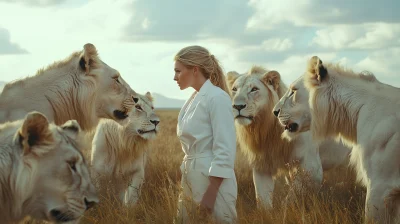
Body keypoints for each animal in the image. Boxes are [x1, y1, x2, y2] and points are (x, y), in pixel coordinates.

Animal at [228, 66, 350, 208]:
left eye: (254, 89)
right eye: (234, 89)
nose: (237, 106)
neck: (266, 131)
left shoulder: (312, 168)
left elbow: (290, 200)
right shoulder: (262, 166)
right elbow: (263, 201)